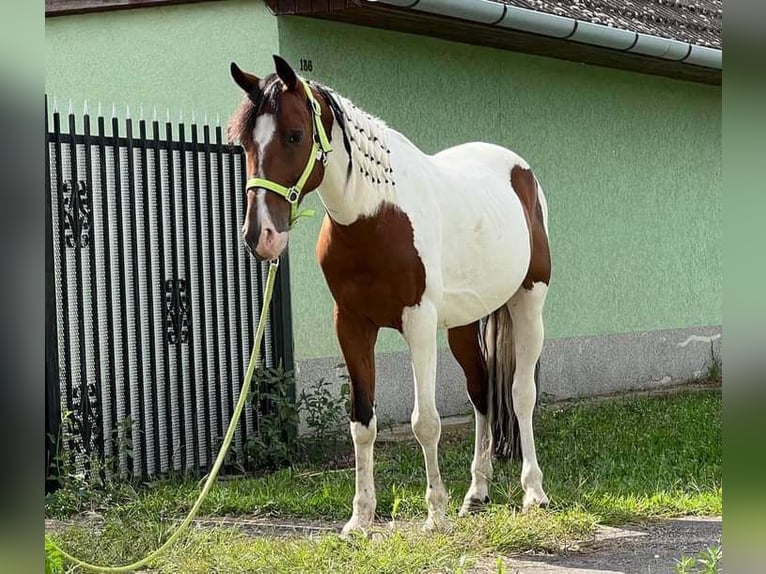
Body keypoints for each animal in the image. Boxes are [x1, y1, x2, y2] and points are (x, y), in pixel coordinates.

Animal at [226, 55, 552, 536]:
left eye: (295, 135)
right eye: (245, 141)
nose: (260, 236)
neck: (374, 214)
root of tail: (520, 172)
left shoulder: (417, 322)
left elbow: (426, 423)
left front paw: (435, 515)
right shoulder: (351, 324)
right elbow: (362, 423)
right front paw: (360, 519)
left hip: (528, 303)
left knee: (519, 393)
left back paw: (534, 492)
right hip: (462, 324)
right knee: (481, 394)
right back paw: (476, 492)